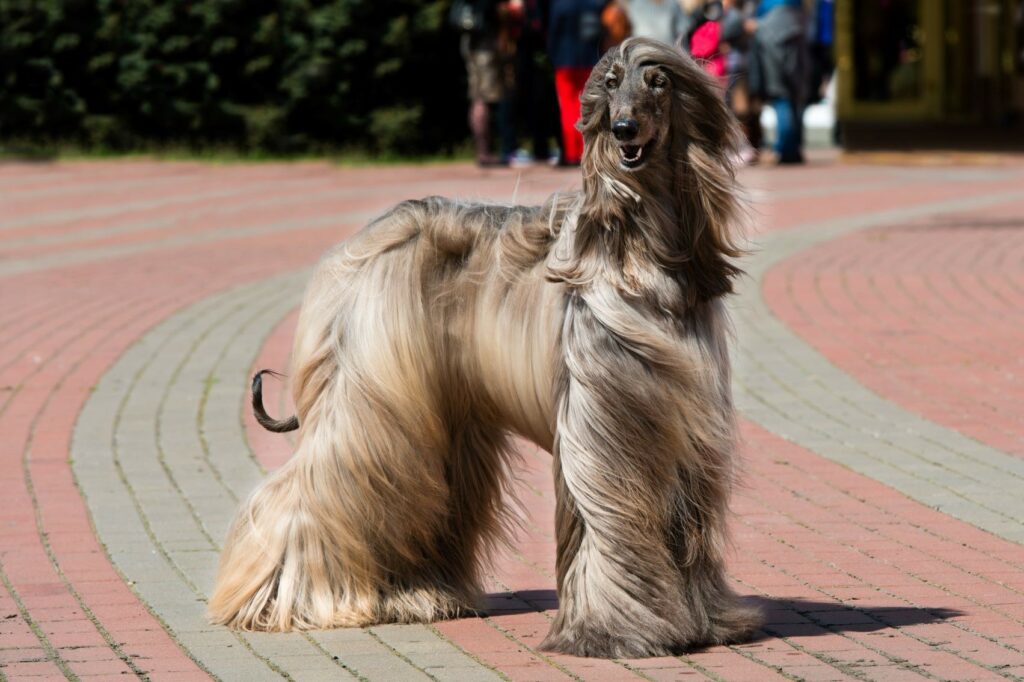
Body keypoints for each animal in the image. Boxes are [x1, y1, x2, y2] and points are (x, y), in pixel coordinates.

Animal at [211, 39, 761, 655]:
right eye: (610, 82)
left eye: (659, 82)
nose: (623, 129)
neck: (641, 248)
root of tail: (361, 245)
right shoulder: (601, 420)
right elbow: (604, 518)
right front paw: (610, 630)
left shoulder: (678, 422)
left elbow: (683, 524)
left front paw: (704, 623)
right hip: (371, 399)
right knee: (319, 484)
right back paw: (277, 600)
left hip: (441, 416)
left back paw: (416, 593)